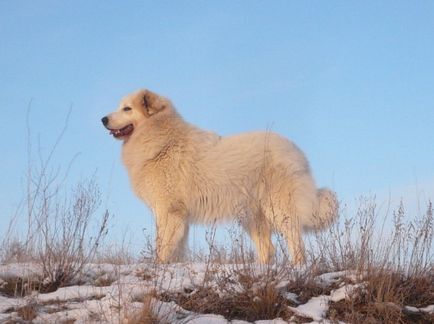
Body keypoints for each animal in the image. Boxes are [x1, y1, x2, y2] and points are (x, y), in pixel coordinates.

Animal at [102, 88, 340, 264]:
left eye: (127, 108)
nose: (103, 119)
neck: (163, 141)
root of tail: (296, 150)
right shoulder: (178, 216)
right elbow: (176, 248)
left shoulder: (168, 211)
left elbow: (163, 246)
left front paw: (158, 269)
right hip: (252, 217)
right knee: (268, 249)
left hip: (279, 209)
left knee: (295, 241)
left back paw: (297, 268)